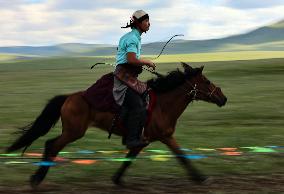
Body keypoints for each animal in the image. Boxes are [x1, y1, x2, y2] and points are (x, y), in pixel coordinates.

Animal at [6, 63, 226, 187]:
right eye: (206, 81)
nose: (223, 98)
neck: (163, 105)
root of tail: (68, 98)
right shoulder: (164, 137)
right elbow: (183, 157)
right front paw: (201, 179)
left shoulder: (142, 140)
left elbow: (128, 160)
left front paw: (117, 180)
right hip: (74, 132)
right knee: (52, 146)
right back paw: (37, 179)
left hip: (72, 131)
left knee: (50, 145)